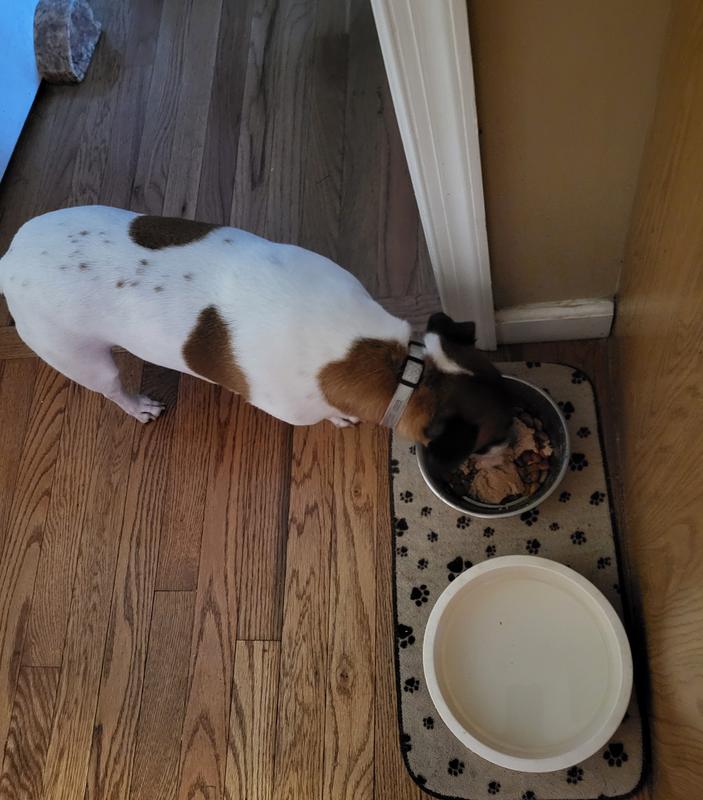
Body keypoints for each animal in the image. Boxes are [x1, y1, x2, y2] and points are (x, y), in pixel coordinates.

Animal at [0, 206, 514, 469]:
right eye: (494, 436)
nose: (515, 441)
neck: (402, 369)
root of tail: (10, 257)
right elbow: (325, 414)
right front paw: (337, 418)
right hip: (83, 359)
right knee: (112, 388)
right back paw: (137, 405)